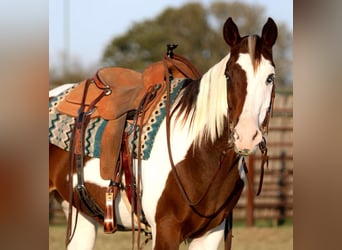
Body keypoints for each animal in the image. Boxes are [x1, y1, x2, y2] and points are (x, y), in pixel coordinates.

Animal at [48, 16, 278, 249]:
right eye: (228, 76)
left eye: (270, 78)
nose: (246, 136)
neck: (201, 156)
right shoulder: (166, 228)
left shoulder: (211, 232)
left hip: (80, 216)